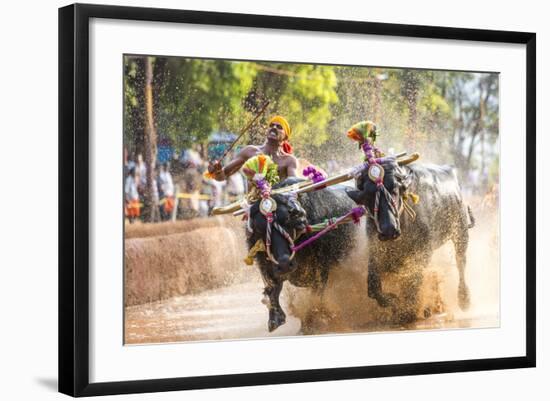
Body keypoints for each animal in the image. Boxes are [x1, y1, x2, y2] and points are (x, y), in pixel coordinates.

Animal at [248, 178, 360, 332]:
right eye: (259, 228)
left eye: (288, 221)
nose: (284, 264)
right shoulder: (267, 266)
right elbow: (272, 290)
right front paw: (275, 318)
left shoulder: (321, 271)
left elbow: (315, 298)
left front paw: (309, 324)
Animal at [350, 158, 474, 324]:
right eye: (368, 195)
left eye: (395, 190)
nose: (388, 230)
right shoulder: (376, 251)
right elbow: (373, 288)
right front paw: (395, 303)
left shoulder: (423, 251)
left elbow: (413, 280)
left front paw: (408, 311)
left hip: (460, 232)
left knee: (461, 262)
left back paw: (464, 298)